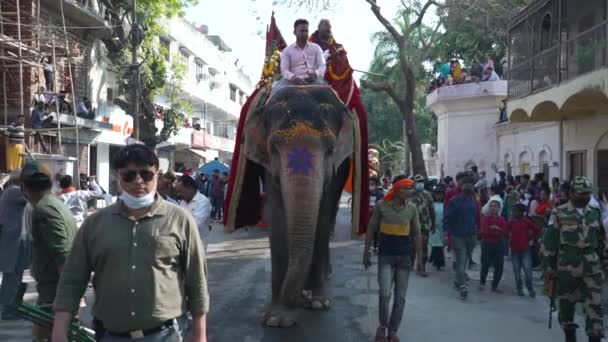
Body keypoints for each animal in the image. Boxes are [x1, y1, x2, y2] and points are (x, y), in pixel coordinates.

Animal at [224, 85, 364, 326]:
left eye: (330, 149)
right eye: (273, 149)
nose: (300, 299)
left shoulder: (337, 168)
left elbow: (323, 215)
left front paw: (317, 303)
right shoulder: (268, 167)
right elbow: (276, 215)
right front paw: (276, 318)